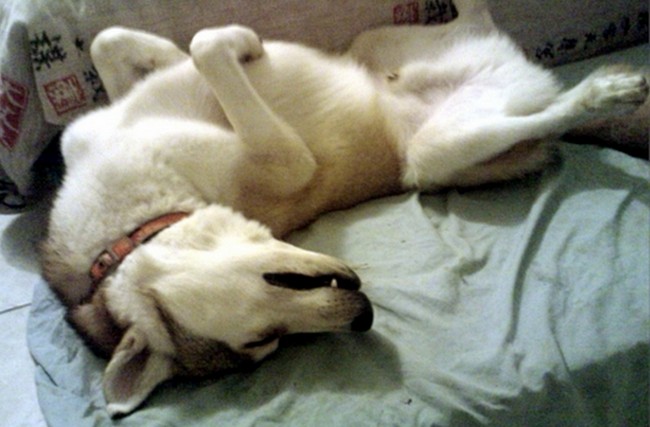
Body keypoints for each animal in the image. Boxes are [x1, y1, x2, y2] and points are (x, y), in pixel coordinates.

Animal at [41, 0, 648, 417]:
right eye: (262, 341)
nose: (364, 317)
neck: (128, 225)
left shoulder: (114, 111)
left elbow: (134, 42)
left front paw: (244, 42)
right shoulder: (288, 161)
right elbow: (202, 48)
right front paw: (234, 43)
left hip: (379, 41)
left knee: (477, 13)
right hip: (441, 153)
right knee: (549, 113)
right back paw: (603, 93)